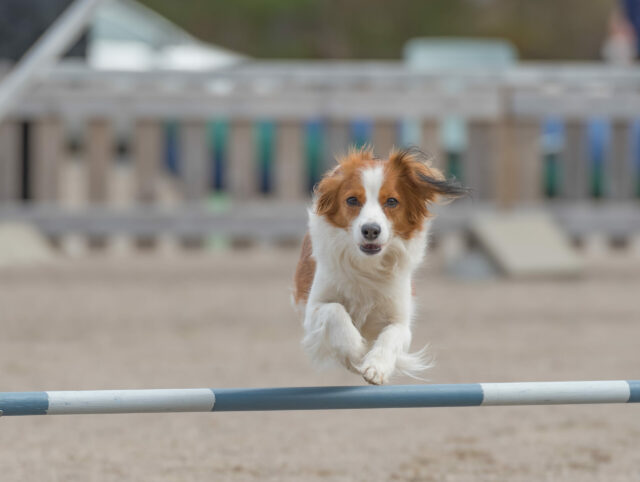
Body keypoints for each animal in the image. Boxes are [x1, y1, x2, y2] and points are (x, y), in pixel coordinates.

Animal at [294, 146, 464, 384]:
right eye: (352, 200)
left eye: (392, 201)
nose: (371, 230)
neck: (368, 265)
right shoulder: (313, 309)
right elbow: (335, 311)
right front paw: (357, 351)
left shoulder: (401, 320)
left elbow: (391, 336)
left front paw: (376, 366)